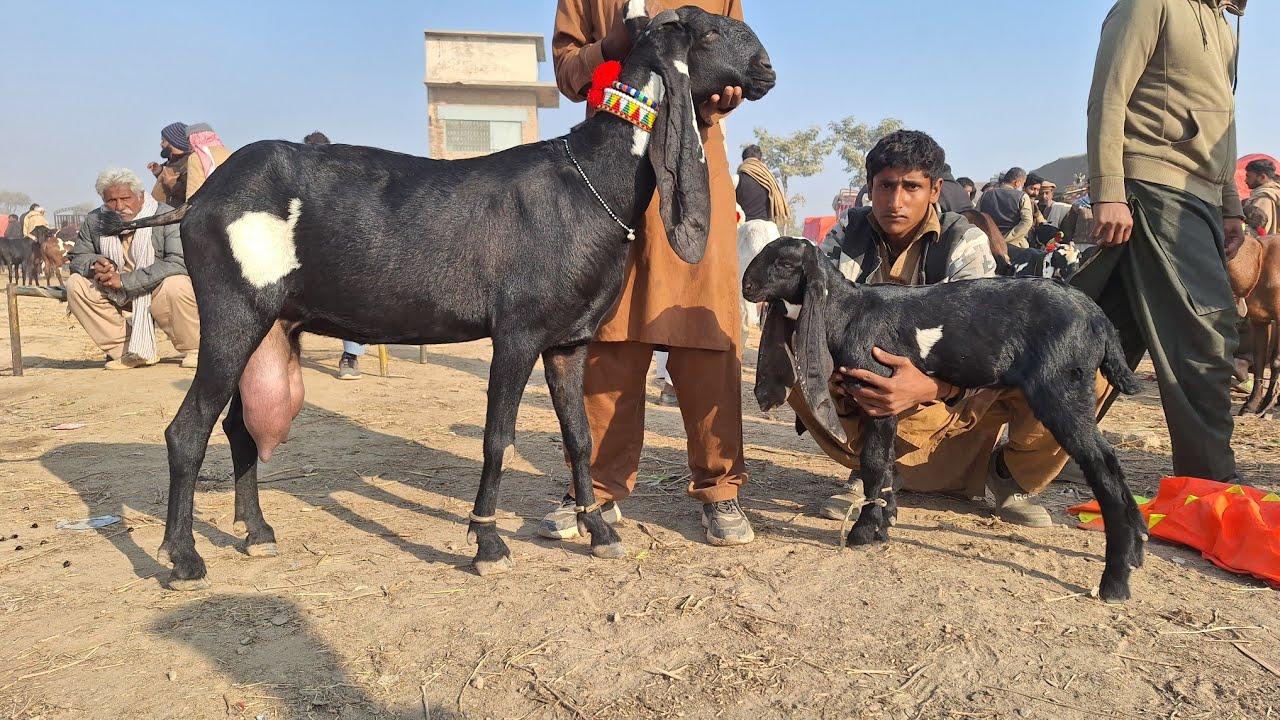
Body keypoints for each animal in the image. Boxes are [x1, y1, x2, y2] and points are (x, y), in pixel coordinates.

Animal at [99, 5, 775, 590]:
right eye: (711, 31)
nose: (767, 69)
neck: (587, 179)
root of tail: (198, 200)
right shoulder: (517, 333)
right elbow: (498, 436)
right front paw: (488, 543)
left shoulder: (569, 340)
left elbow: (581, 436)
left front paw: (599, 531)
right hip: (232, 312)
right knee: (188, 430)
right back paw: (183, 557)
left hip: (268, 325)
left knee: (239, 425)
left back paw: (258, 533)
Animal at [742, 236, 1147, 602]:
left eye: (785, 263)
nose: (747, 286)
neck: (848, 312)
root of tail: (1099, 319)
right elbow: (883, 463)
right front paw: (885, 522)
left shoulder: (880, 390)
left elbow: (873, 462)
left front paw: (864, 531)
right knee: (1110, 464)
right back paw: (1137, 548)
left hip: (1061, 387)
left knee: (1103, 468)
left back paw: (1115, 581)